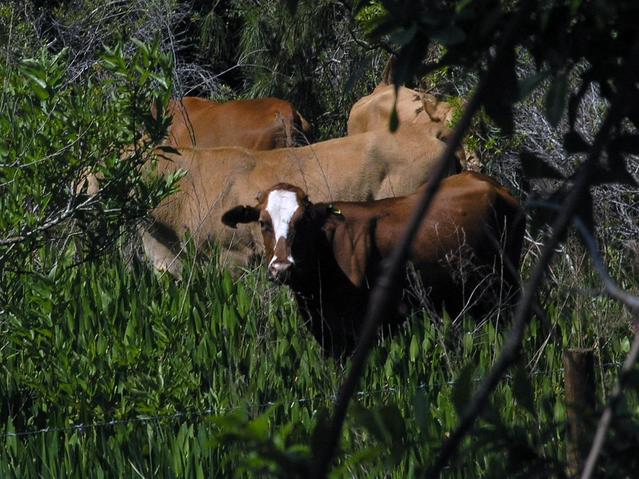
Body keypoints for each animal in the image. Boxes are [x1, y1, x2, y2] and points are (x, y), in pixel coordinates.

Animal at [222, 172, 528, 356]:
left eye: (302, 221)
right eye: (263, 223)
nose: (282, 268)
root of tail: (490, 182)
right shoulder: (329, 336)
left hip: (507, 291)